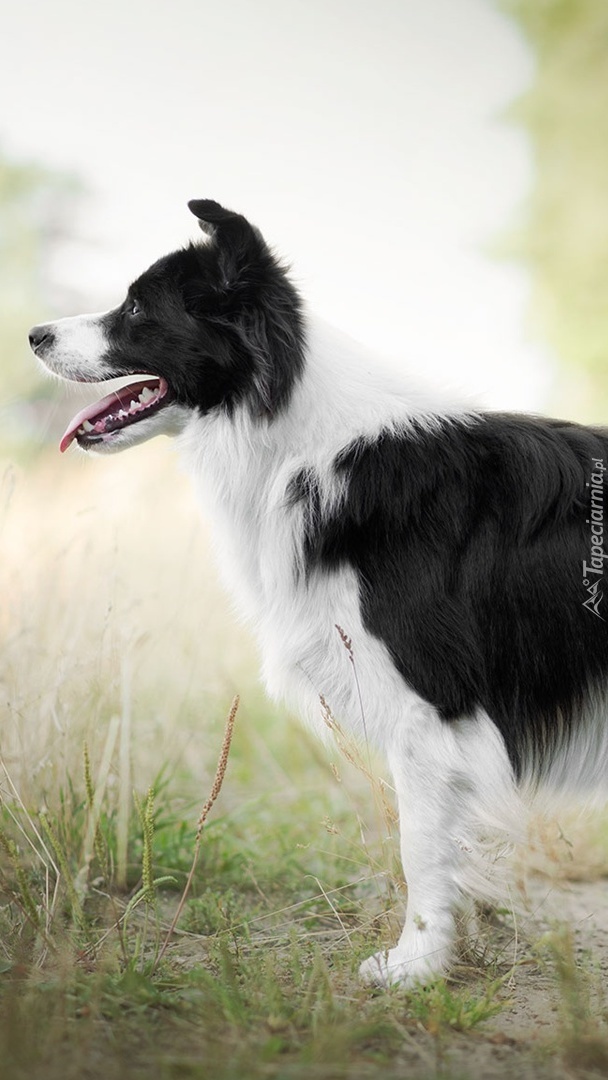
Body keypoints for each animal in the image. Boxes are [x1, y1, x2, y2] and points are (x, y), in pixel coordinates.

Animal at [29, 200, 608, 989]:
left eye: (138, 308)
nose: (34, 334)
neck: (298, 441)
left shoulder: (431, 707)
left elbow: (420, 847)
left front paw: (415, 967)